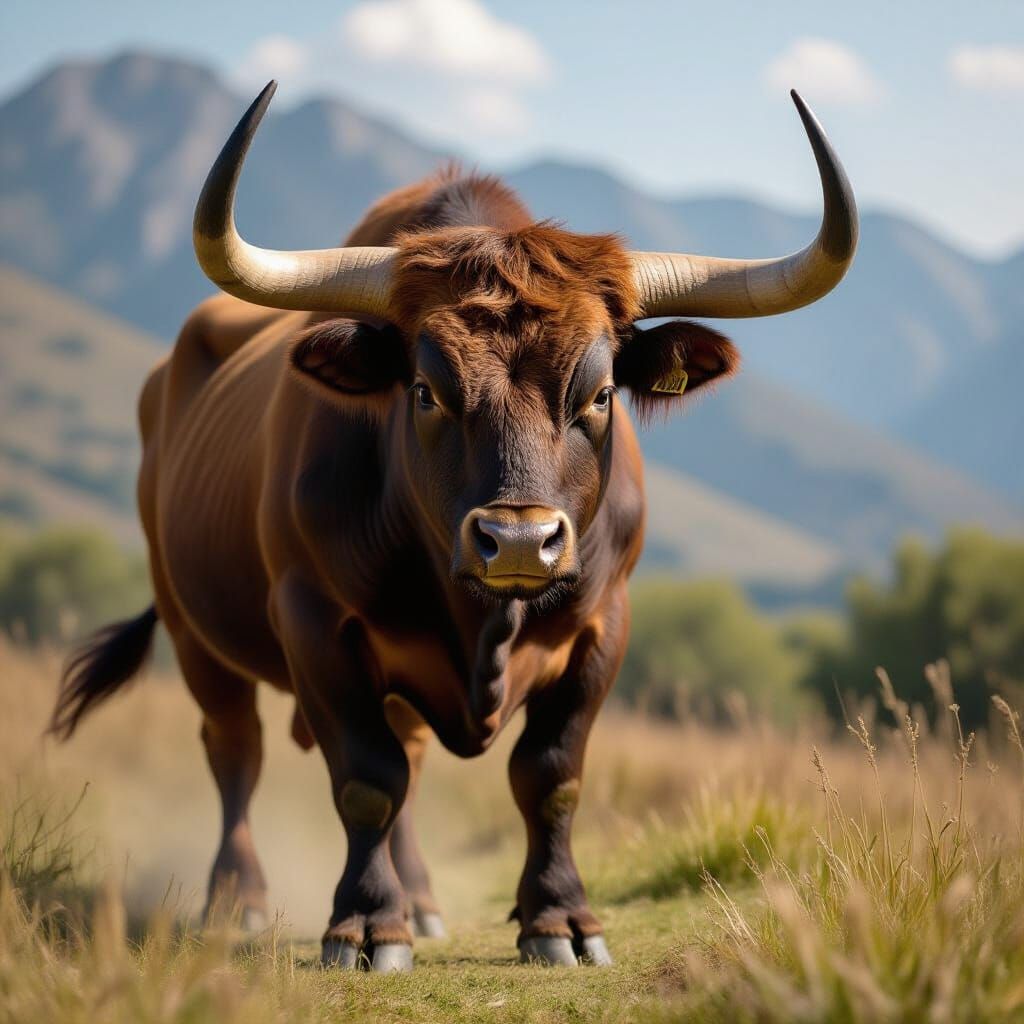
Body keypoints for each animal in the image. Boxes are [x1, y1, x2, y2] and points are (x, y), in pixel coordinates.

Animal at [50, 82, 856, 971]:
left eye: (600, 393)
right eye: (426, 391)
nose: (519, 542)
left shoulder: (604, 625)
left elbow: (549, 775)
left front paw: (558, 918)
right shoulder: (314, 622)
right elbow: (364, 777)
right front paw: (367, 923)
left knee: (405, 751)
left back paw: (425, 902)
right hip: (196, 632)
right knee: (236, 751)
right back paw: (240, 900)